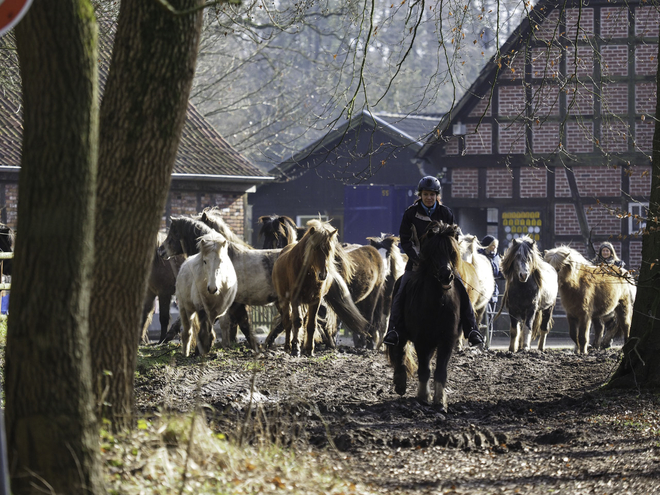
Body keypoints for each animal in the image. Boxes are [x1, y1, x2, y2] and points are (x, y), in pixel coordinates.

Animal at [270, 220, 358, 356]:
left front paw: (309, 349)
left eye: (329, 249)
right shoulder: (295, 299)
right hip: (284, 301)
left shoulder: (315, 300)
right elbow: (297, 321)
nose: (323, 274)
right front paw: (295, 348)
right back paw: (288, 346)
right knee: (288, 322)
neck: (307, 272)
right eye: (315, 248)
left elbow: (311, 324)